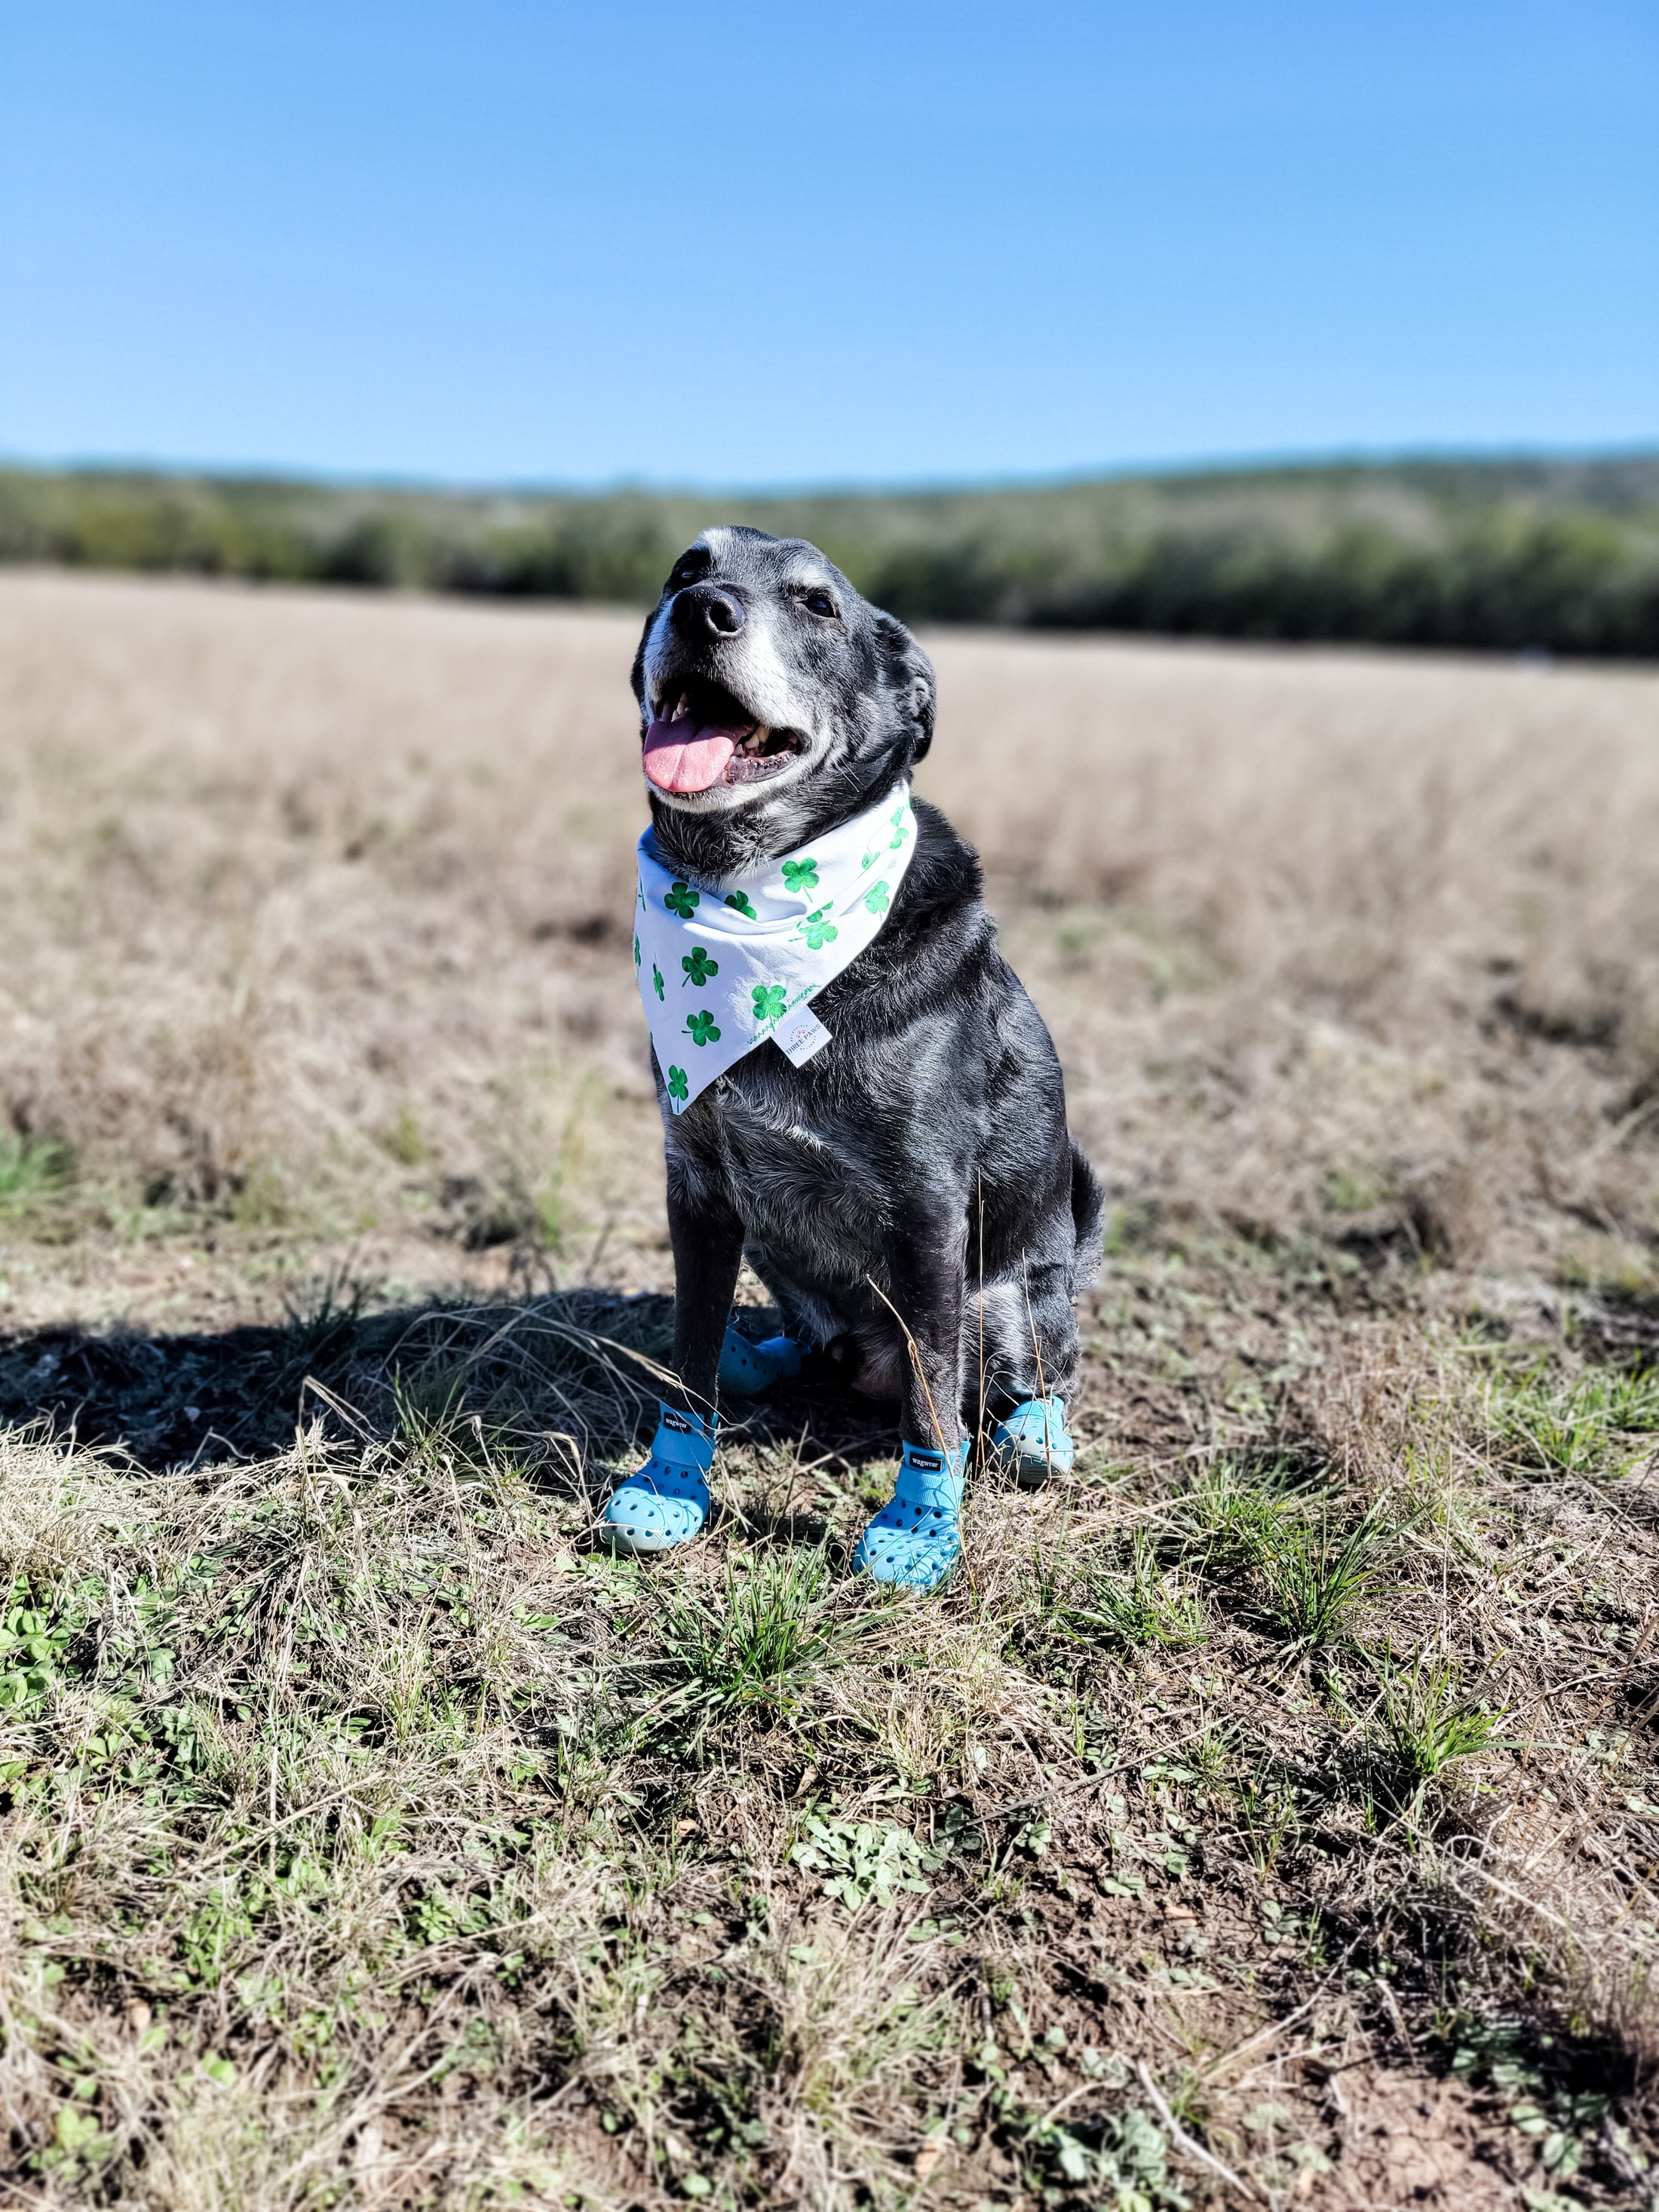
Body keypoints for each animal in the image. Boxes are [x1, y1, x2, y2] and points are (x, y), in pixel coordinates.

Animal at [606, 524, 1105, 1584]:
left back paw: (1032, 1433)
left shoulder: (926, 1215)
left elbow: (932, 1397)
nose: (703, 608)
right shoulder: (697, 1186)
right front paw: (672, 1481)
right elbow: (690, 1356)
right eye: (685, 567)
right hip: (777, 1250)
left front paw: (919, 1526)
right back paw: (765, 1354)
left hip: (1004, 1295)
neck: (752, 893)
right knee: (806, 1341)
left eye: (817, 604)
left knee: (1018, 1376)